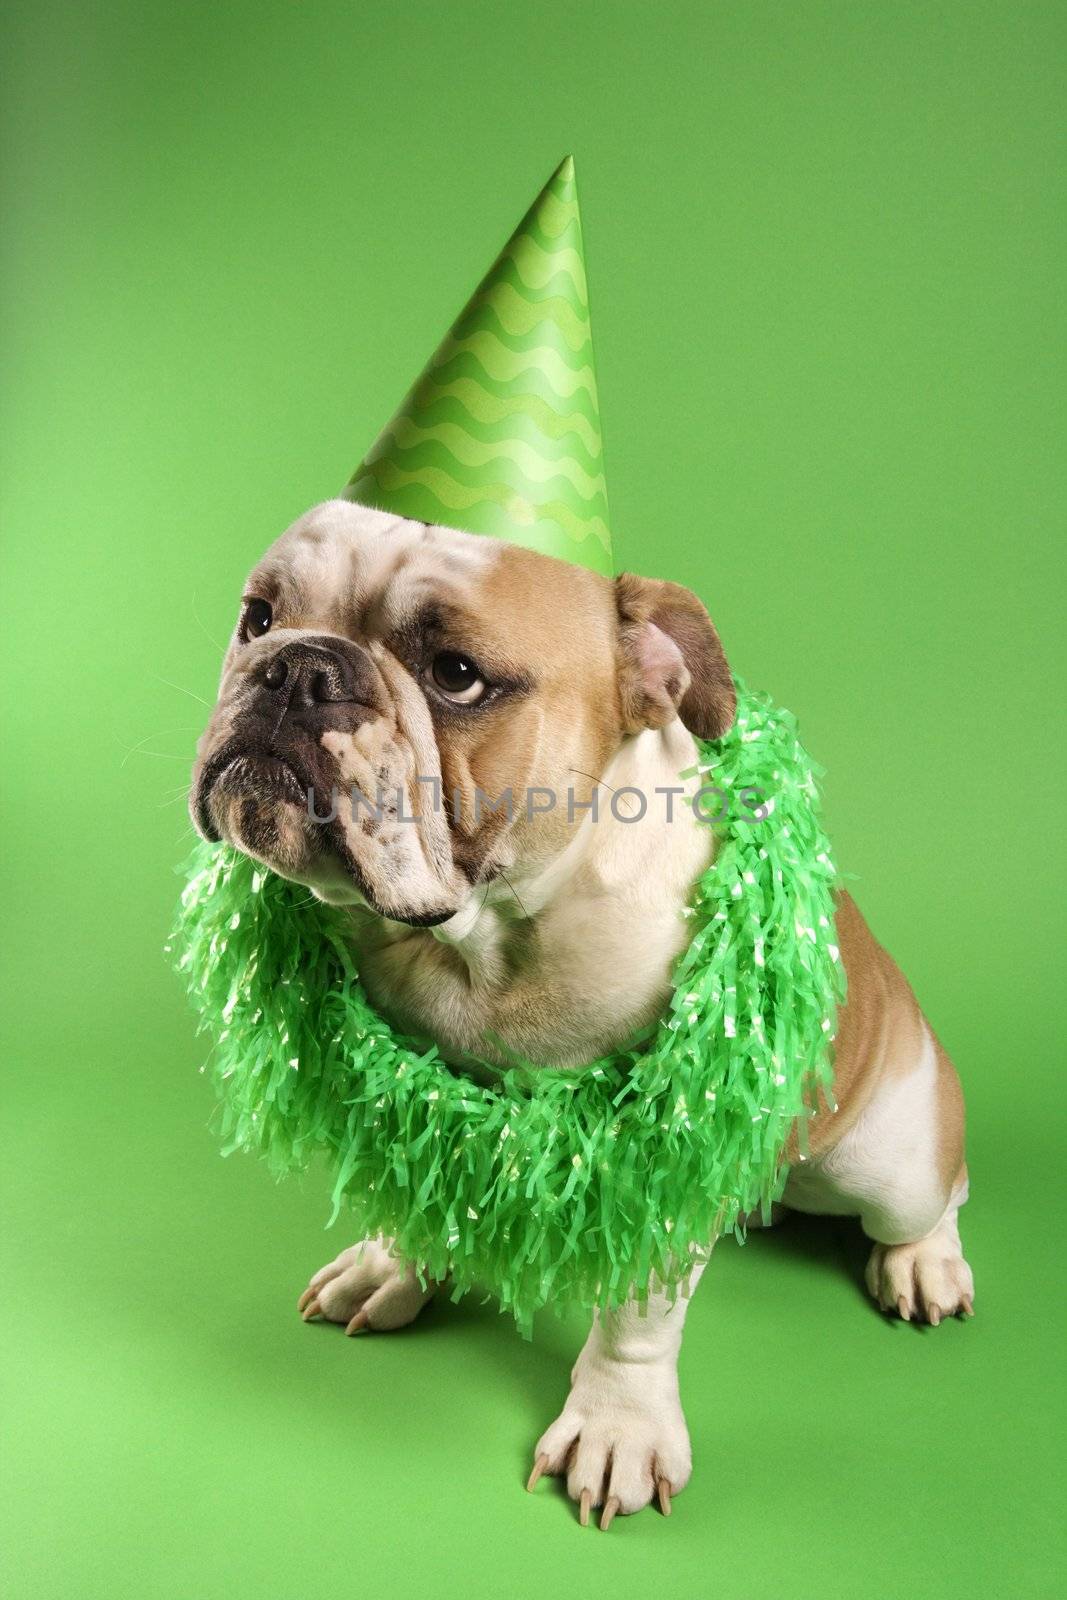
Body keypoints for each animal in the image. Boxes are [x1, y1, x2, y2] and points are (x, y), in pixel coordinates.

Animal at [187, 499, 972, 1523]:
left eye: (456, 676)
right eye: (258, 618)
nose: (297, 668)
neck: (480, 941)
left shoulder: (656, 1148)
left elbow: (637, 1315)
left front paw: (616, 1428)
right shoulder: (410, 1088)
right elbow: (415, 1180)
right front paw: (392, 1265)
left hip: (887, 1161)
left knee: (936, 1194)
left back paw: (925, 1263)